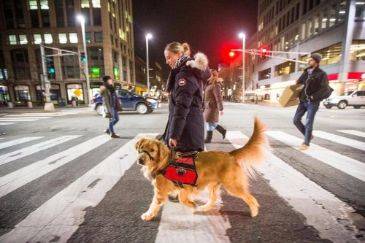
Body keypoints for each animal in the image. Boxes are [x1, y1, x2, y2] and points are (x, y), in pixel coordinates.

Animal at [135, 117, 266, 221]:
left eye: (152, 150)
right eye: (141, 148)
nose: (140, 160)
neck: (164, 162)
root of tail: (230, 154)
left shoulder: (163, 191)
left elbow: (154, 204)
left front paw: (148, 215)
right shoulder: (185, 187)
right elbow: (182, 198)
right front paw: (192, 204)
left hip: (232, 185)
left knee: (251, 198)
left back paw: (254, 211)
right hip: (213, 185)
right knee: (213, 199)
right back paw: (203, 208)